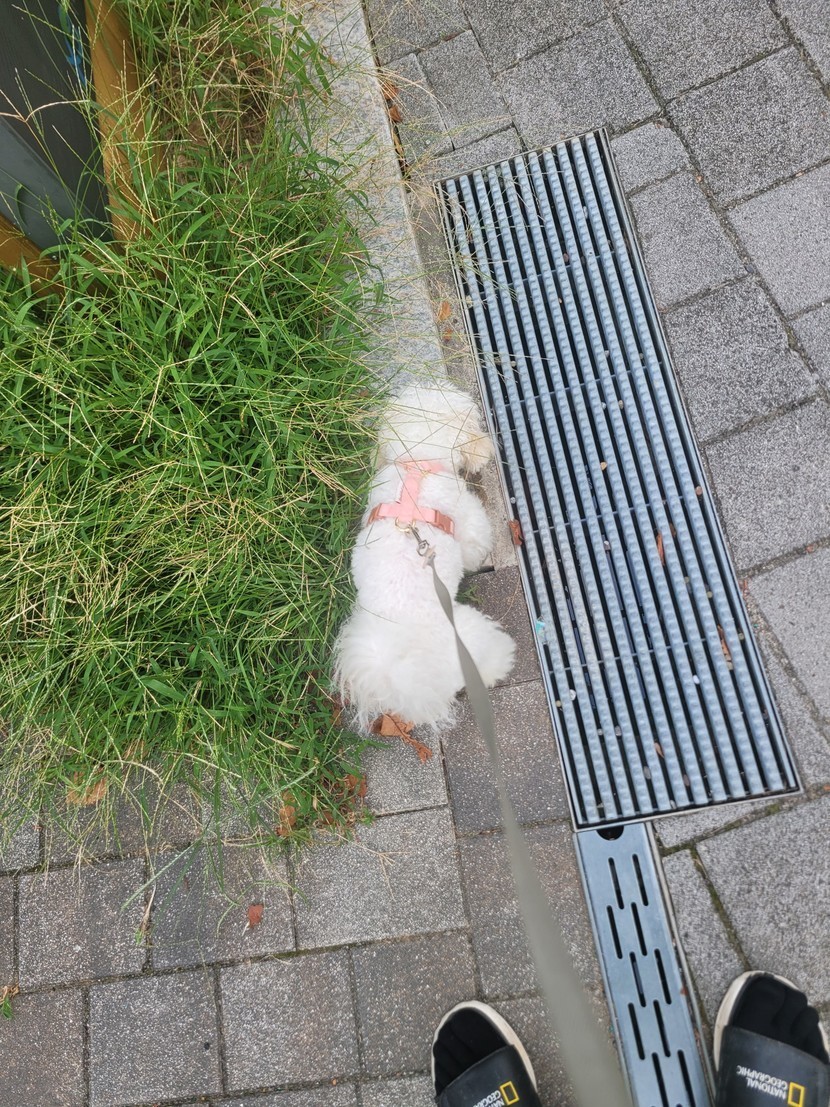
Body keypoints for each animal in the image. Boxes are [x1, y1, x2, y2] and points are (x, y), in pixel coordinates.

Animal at [333, 382, 516, 729]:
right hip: (469, 636)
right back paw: (501, 663)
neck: (417, 464)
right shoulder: (468, 521)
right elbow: (474, 544)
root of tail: (407, 676)